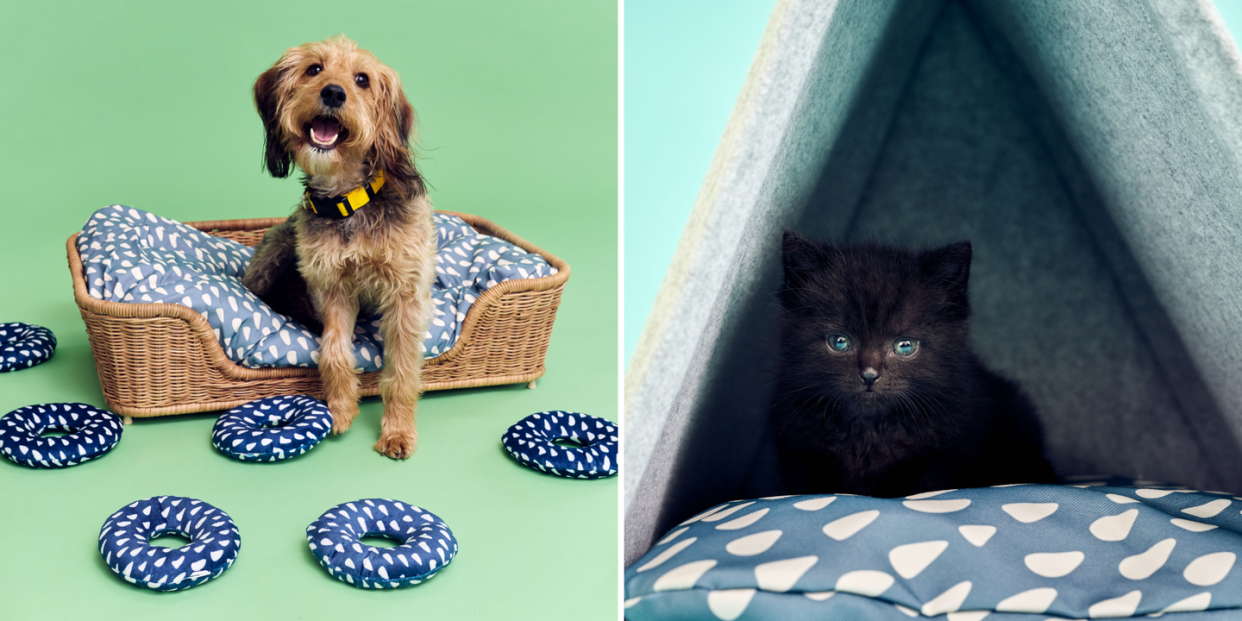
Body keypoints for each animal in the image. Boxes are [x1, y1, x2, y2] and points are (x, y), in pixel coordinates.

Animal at [240, 36, 437, 459]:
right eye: (314, 69)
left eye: (362, 79)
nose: (333, 92)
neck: (349, 200)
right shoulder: (331, 287)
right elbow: (333, 351)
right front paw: (342, 408)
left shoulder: (406, 295)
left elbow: (401, 372)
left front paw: (397, 432)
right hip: (274, 253)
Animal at [770, 231, 1053, 496]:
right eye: (839, 342)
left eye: (905, 346)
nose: (869, 374)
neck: (868, 430)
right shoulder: (801, 452)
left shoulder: (942, 457)